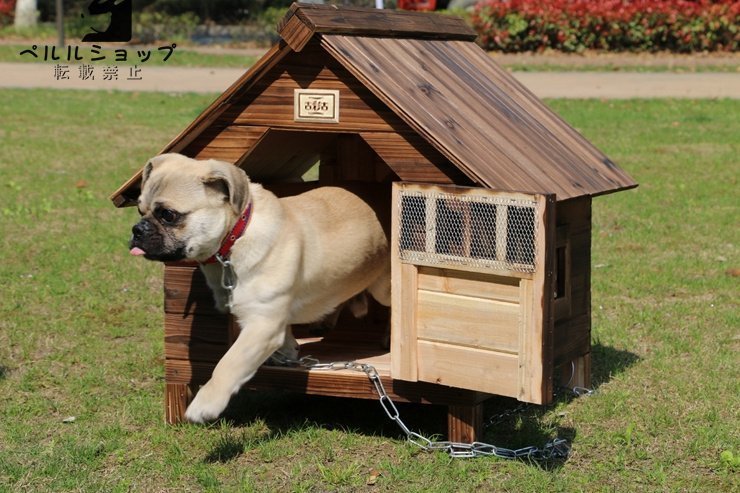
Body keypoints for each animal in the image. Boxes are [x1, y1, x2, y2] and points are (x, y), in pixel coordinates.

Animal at [129, 152, 390, 420]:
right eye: (140, 210)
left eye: (168, 215)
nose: (137, 229)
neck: (234, 239)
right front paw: (288, 351)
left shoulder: (261, 324)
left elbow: (228, 363)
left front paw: (205, 403)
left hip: (383, 287)